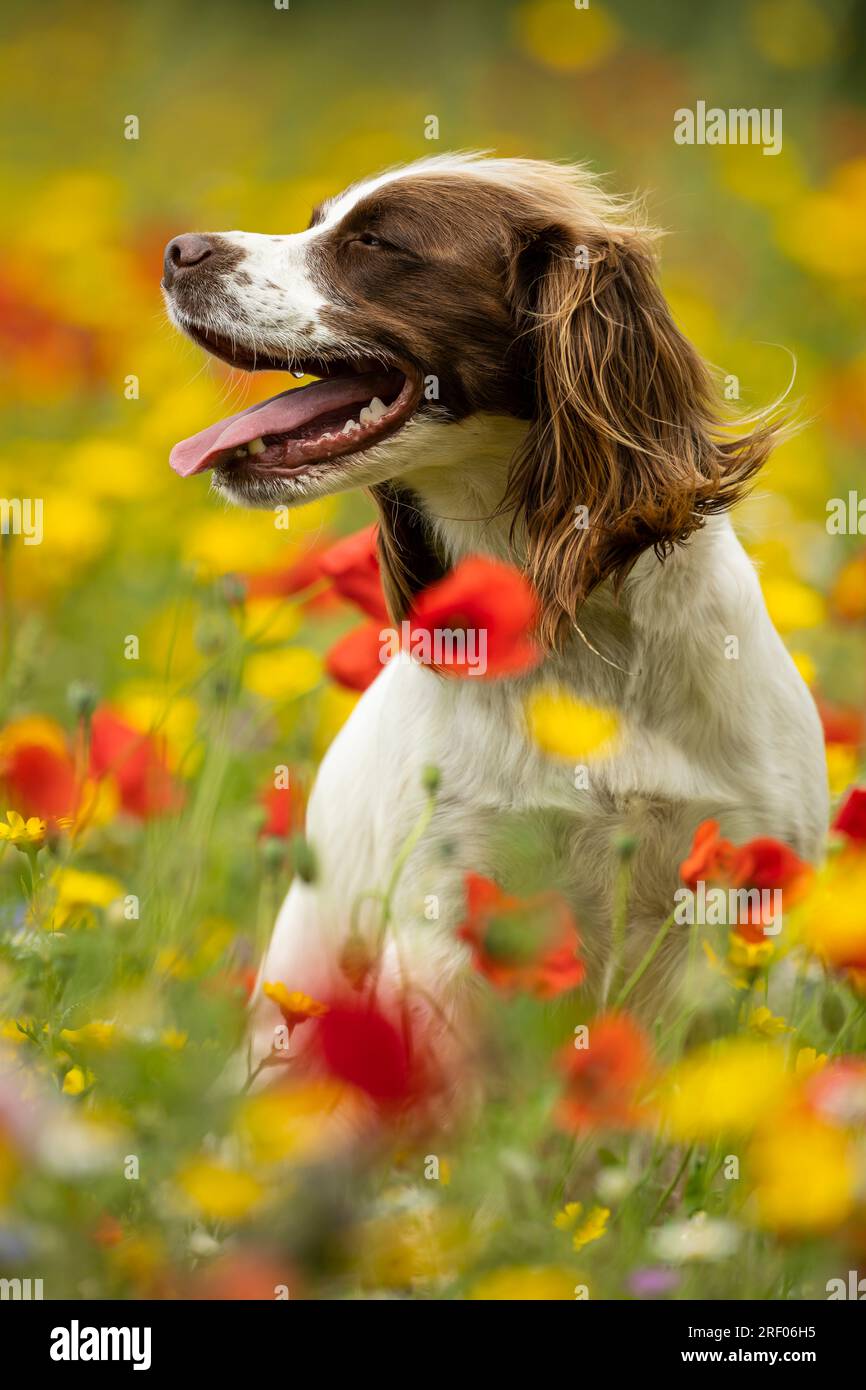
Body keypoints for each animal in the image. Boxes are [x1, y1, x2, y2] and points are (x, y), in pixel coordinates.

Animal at [159, 152, 828, 1073]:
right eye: (318, 221)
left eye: (376, 241)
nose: (175, 250)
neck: (581, 633)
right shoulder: (446, 916)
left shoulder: (748, 907)